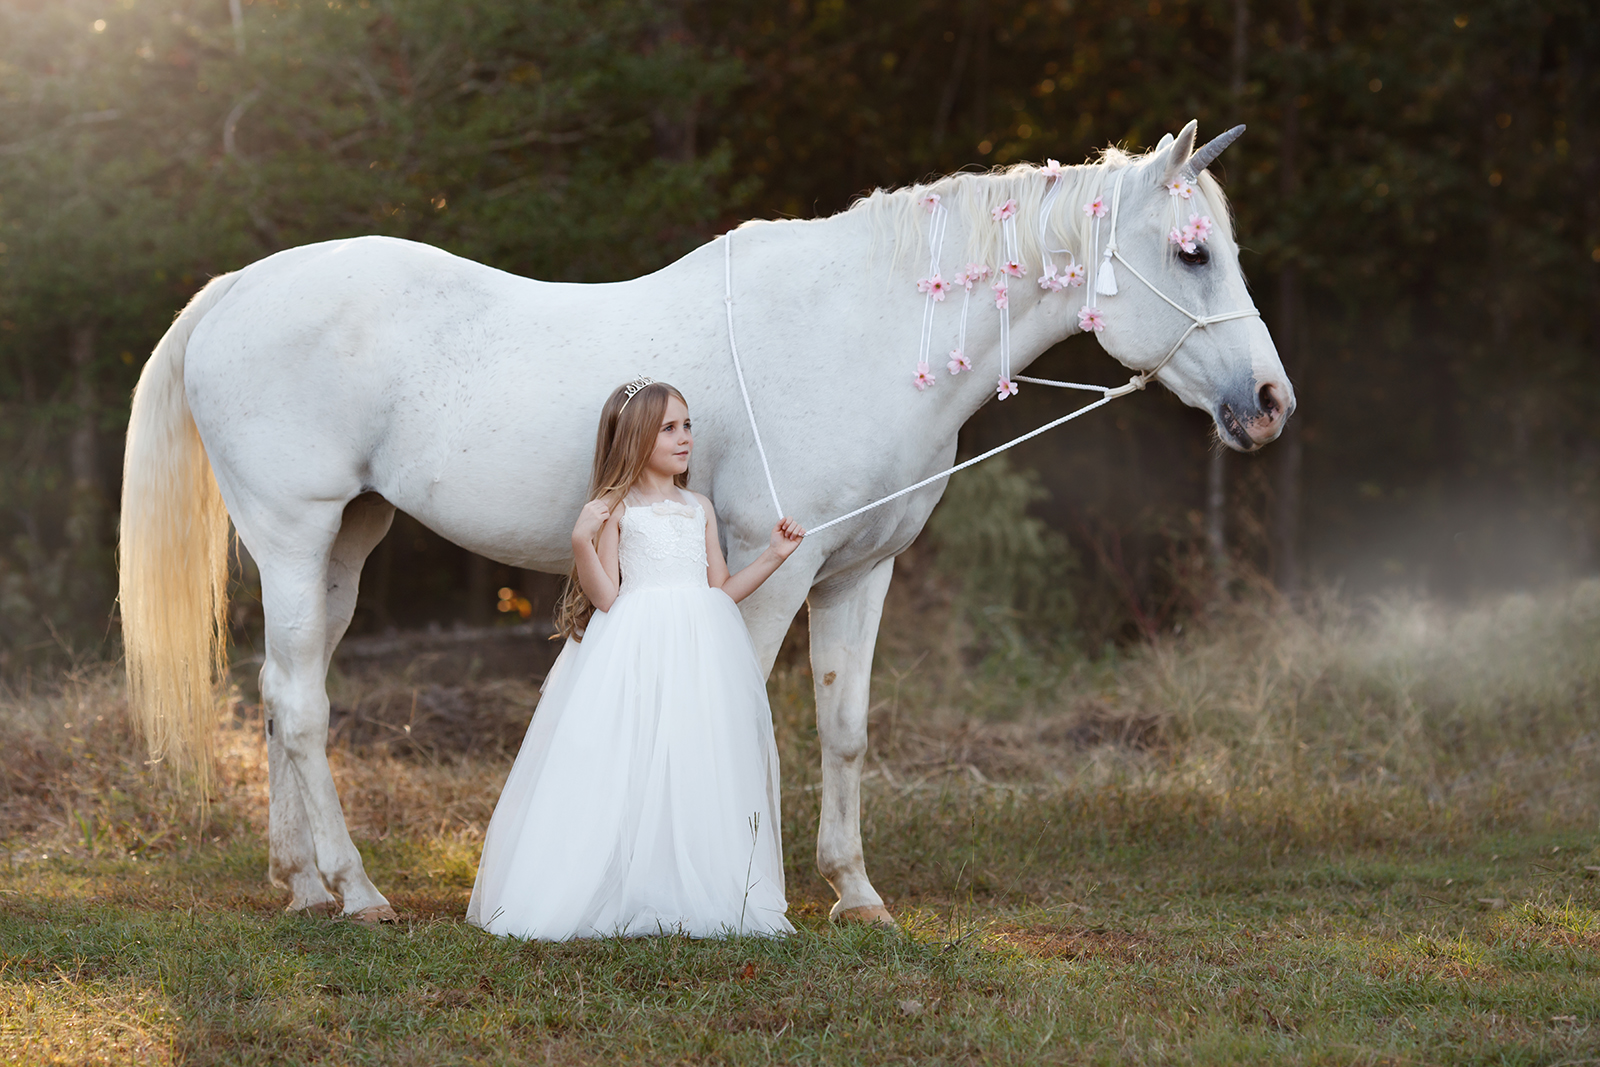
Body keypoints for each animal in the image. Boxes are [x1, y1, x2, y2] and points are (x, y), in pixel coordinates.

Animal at [116, 120, 1286, 921]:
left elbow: (844, 727)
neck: (857, 333)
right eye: (1192, 254)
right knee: (302, 704)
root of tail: (235, 288)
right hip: (294, 533)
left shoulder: (859, 573)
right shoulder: (773, 568)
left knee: (282, 693)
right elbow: (752, 713)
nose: (1270, 403)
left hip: (344, 545)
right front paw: (743, 885)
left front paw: (855, 891)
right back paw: (355, 891)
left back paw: (302, 882)